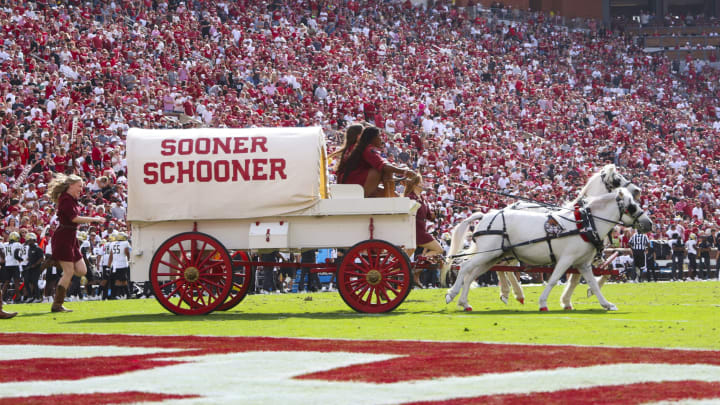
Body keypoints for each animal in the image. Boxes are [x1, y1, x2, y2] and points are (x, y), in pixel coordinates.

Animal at [442, 164, 640, 306]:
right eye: (617, 179)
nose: (637, 190)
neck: (585, 218)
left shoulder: (584, 256)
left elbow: (590, 274)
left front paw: (574, 298)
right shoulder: (579, 255)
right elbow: (582, 277)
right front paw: (570, 299)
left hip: (501, 251)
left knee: (494, 269)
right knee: (495, 268)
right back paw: (510, 293)